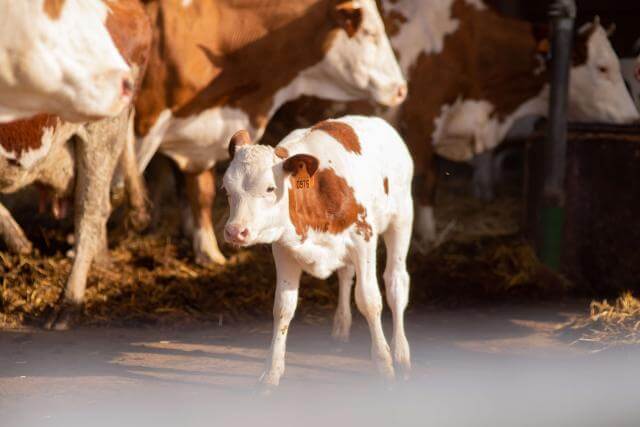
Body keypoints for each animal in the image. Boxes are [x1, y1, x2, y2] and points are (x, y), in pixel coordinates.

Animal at [224, 116, 416, 388]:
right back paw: (341, 326)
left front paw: (384, 365)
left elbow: (369, 300)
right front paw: (271, 374)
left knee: (396, 283)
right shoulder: (284, 249)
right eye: (226, 190)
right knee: (346, 275)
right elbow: (283, 308)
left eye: (270, 189)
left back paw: (401, 354)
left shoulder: (363, 239)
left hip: (401, 219)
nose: (235, 231)